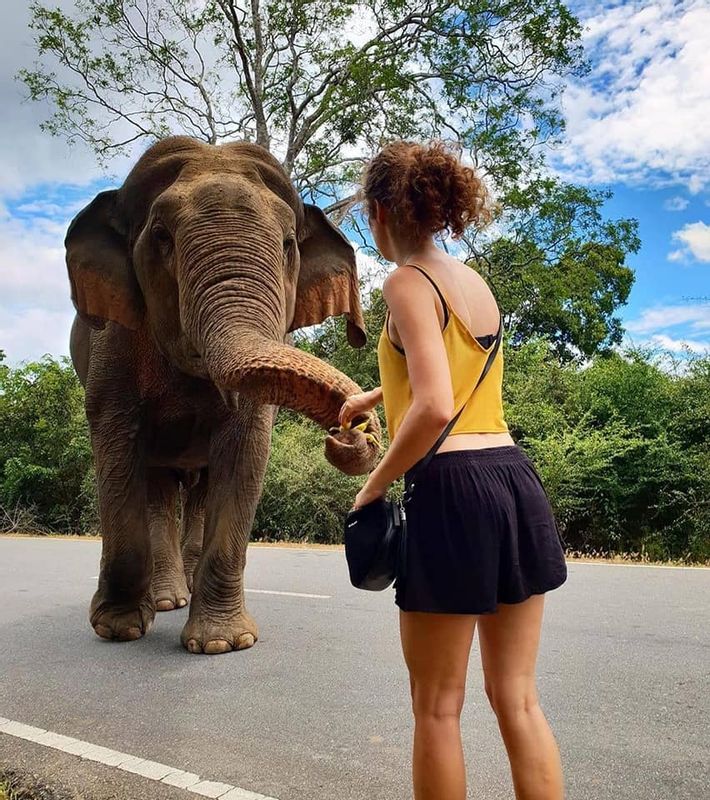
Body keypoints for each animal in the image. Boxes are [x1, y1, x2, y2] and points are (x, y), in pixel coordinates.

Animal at [68, 134, 384, 652]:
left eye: (289, 243)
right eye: (161, 237)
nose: (348, 432)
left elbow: (245, 449)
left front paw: (222, 644)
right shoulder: (112, 344)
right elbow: (115, 446)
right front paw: (118, 630)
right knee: (157, 486)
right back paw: (167, 601)